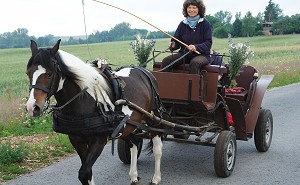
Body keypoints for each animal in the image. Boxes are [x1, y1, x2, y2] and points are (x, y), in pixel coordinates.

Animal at [26, 39, 164, 184]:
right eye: (28, 73)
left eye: (49, 74)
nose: (32, 107)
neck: (83, 100)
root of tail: (144, 71)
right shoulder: (76, 139)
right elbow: (87, 173)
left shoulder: (99, 140)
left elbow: (84, 172)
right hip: (126, 125)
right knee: (134, 144)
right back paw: (134, 176)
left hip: (153, 118)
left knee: (157, 147)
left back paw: (156, 177)